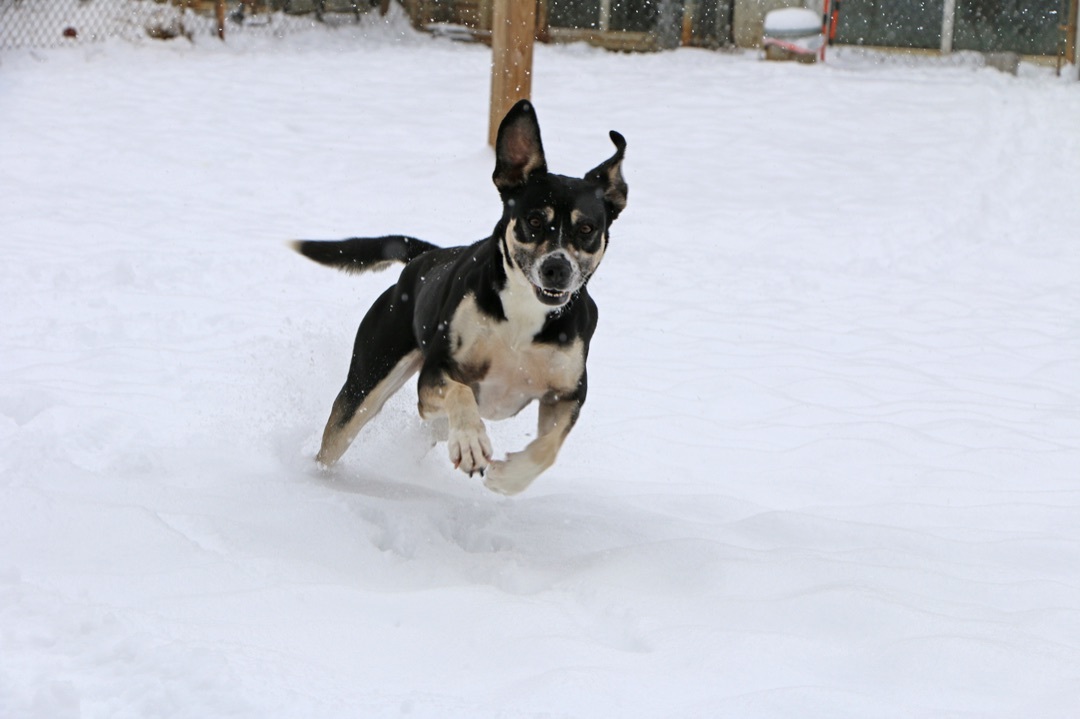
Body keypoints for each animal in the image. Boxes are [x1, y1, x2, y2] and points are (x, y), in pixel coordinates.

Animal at [295, 99, 630, 492]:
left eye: (587, 228)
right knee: (339, 434)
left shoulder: (567, 393)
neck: (522, 317)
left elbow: (549, 447)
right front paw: (471, 443)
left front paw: (509, 477)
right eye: (533, 220)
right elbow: (460, 393)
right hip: (368, 380)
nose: (556, 268)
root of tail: (425, 256)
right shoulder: (435, 373)